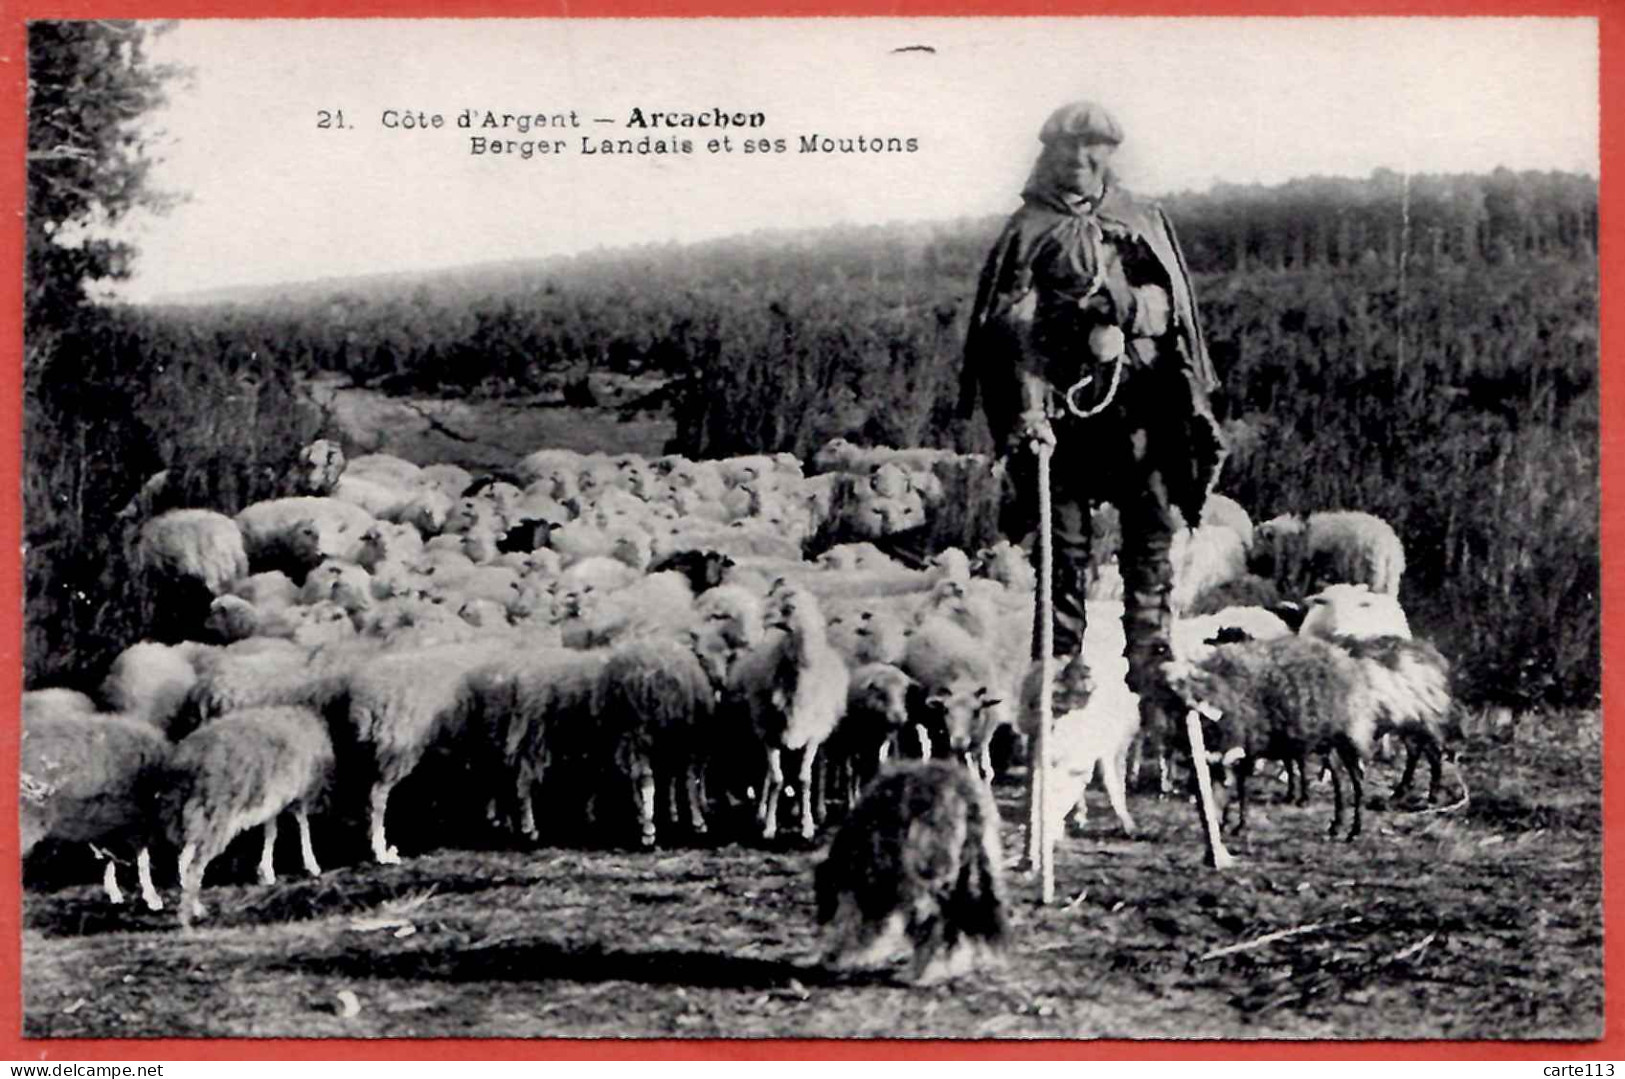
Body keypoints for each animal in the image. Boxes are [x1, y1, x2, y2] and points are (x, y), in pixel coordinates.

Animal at [156, 705, 333, 923]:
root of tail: (186, 764)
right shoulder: (297, 795)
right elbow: (303, 825)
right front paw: (312, 865)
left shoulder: (273, 800)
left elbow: (271, 831)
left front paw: (267, 872)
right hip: (213, 819)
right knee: (194, 866)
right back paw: (189, 915)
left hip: (189, 819)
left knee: (184, 861)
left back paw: (194, 907)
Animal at [724, 585, 851, 838]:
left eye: (789, 608)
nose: (760, 620)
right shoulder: (769, 735)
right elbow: (776, 779)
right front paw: (769, 826)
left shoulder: (812, 738)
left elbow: (804, 779)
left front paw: (807, 825)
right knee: (769, 774)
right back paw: (765, 811)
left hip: (821, 733)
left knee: (819, 768)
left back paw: (815, 810)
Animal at [819, 757, 1007, 988]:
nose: (828, 958)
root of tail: (965, 793)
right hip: (971, 869)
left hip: (925, 874)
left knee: (933, 920)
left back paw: (921, 972)